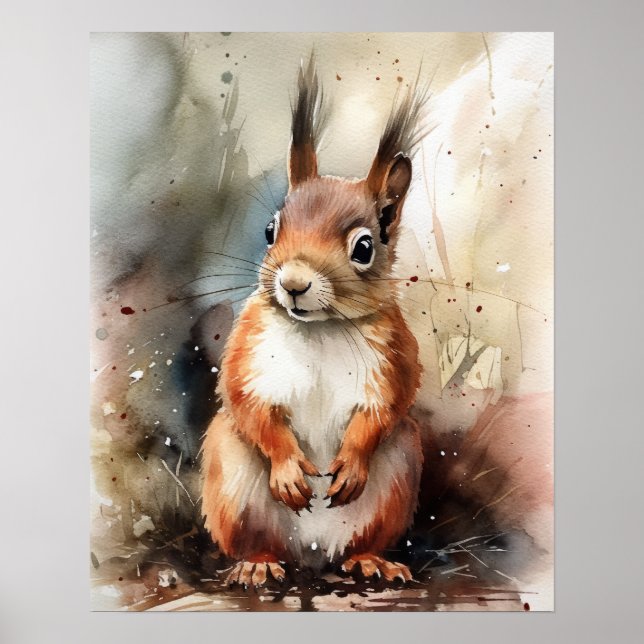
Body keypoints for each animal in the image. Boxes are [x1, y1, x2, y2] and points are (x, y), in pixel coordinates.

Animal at [201, 56, 426, 587]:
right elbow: (249, 406)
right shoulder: (249, 351)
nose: (294, 284)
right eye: (270, 230)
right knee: (257, 540)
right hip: (231, 479)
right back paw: (257, 564)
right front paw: (286, 468)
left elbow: (385, 409)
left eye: (364, 247)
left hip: (400, 472)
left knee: (362, 540)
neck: (321, 327)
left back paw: (371, 561)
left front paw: (352, 462)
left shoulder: (395, 356)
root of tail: (311, 554)